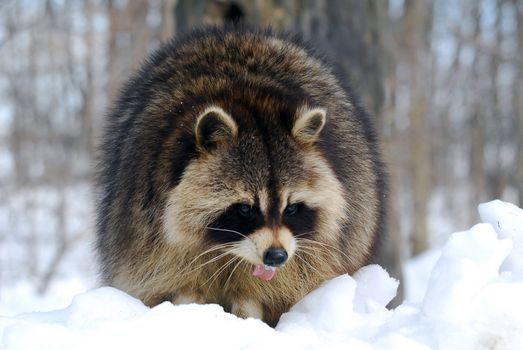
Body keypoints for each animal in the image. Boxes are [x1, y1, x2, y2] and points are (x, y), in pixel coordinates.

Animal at [96, 26, 386, 326]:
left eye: (292, 208)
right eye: (245, 208)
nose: (276, 256)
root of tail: (235, 33)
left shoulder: (304, 260)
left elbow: (263, 292)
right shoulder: (151, 236)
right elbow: (176, 285)